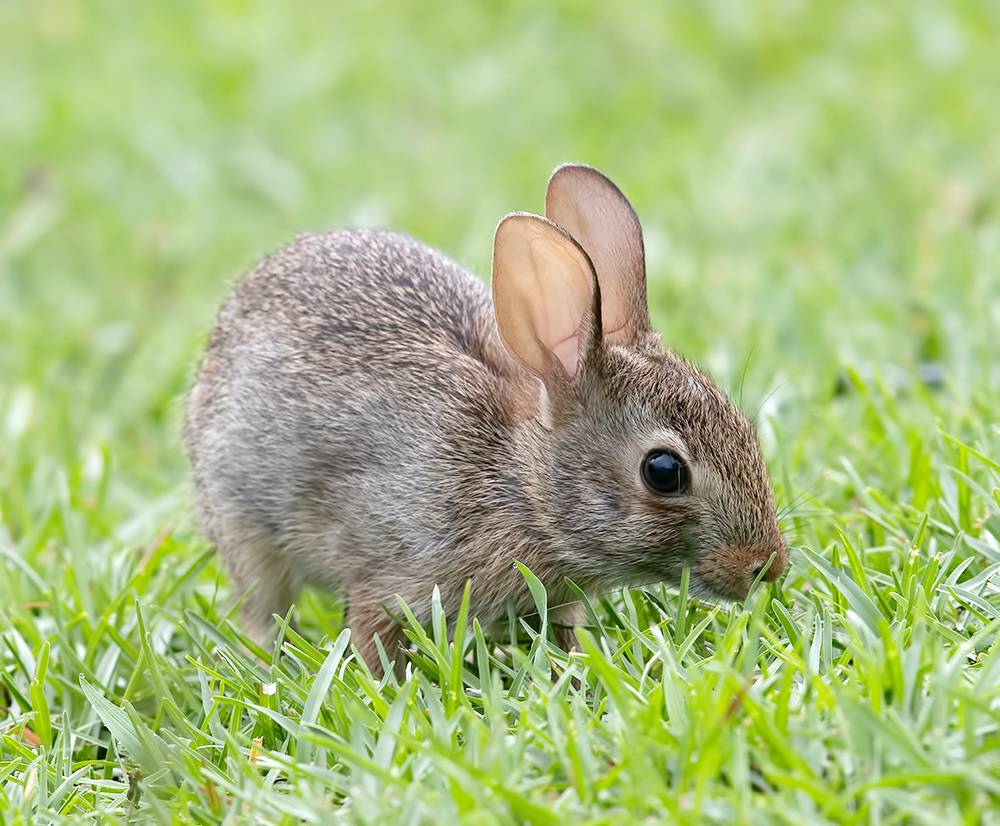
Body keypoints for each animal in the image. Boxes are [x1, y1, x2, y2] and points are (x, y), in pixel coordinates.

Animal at [184, 163, 788, 671]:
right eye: (663, 472)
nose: (767, 566)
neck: (523, 487)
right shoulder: (393, 574)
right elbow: (374, 636)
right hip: (243, 526)